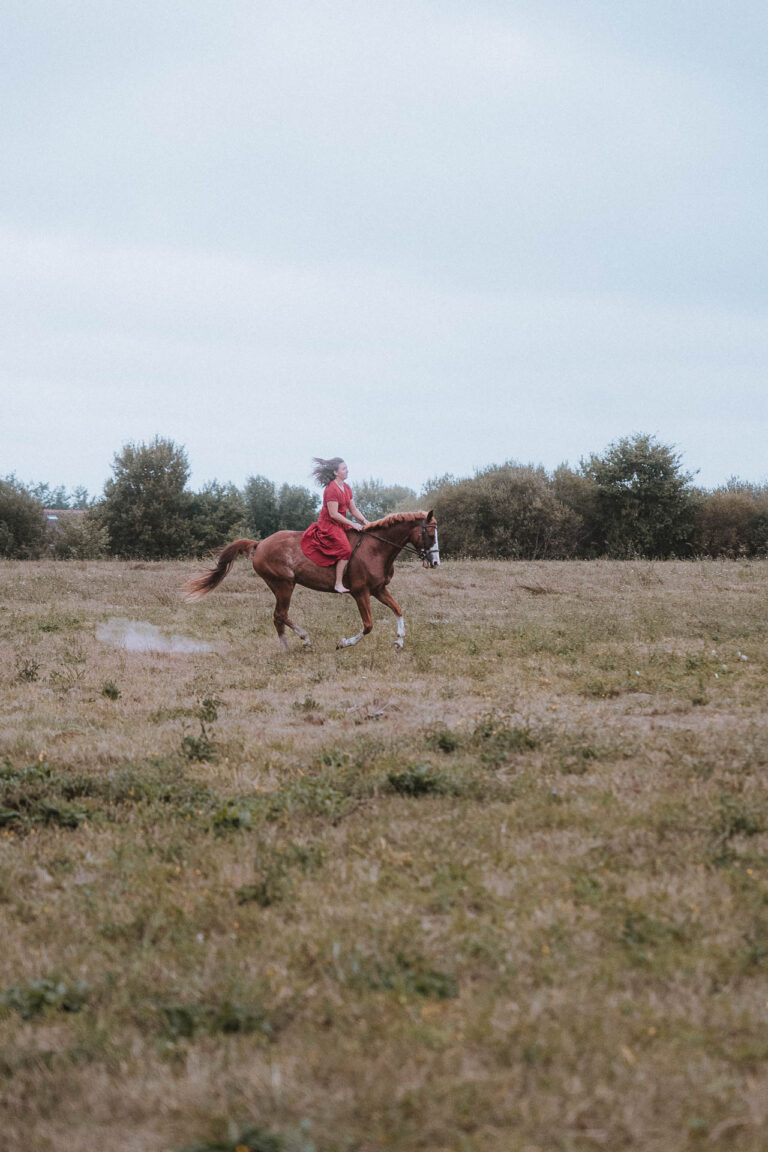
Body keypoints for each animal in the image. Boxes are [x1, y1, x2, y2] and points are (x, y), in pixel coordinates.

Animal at [182, 511, 439, 651]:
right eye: (430, 534)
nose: (435, 562)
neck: (375, 548)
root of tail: (260, 543)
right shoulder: (360, 592)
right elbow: (368, 626)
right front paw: (343, 643)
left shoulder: (378, 589)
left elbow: (398, 610)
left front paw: (399, 642)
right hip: (284, 584)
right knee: (280, 615)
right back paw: (298, 643)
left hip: (281, 586)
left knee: (279, 617)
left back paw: (292, 645)